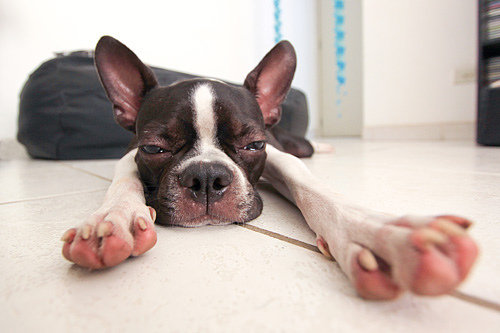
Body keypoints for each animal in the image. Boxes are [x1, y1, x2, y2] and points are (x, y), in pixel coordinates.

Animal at [60, 35, 478, 298]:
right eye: (154, 148)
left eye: (254, 145)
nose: (207, 177)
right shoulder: (129, 154)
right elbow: (123, 180)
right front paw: (113, 219)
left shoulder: (279, 155)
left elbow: (310, 185)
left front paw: (375, 234)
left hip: (296, 143)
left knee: (306, 147)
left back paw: (326, 146)